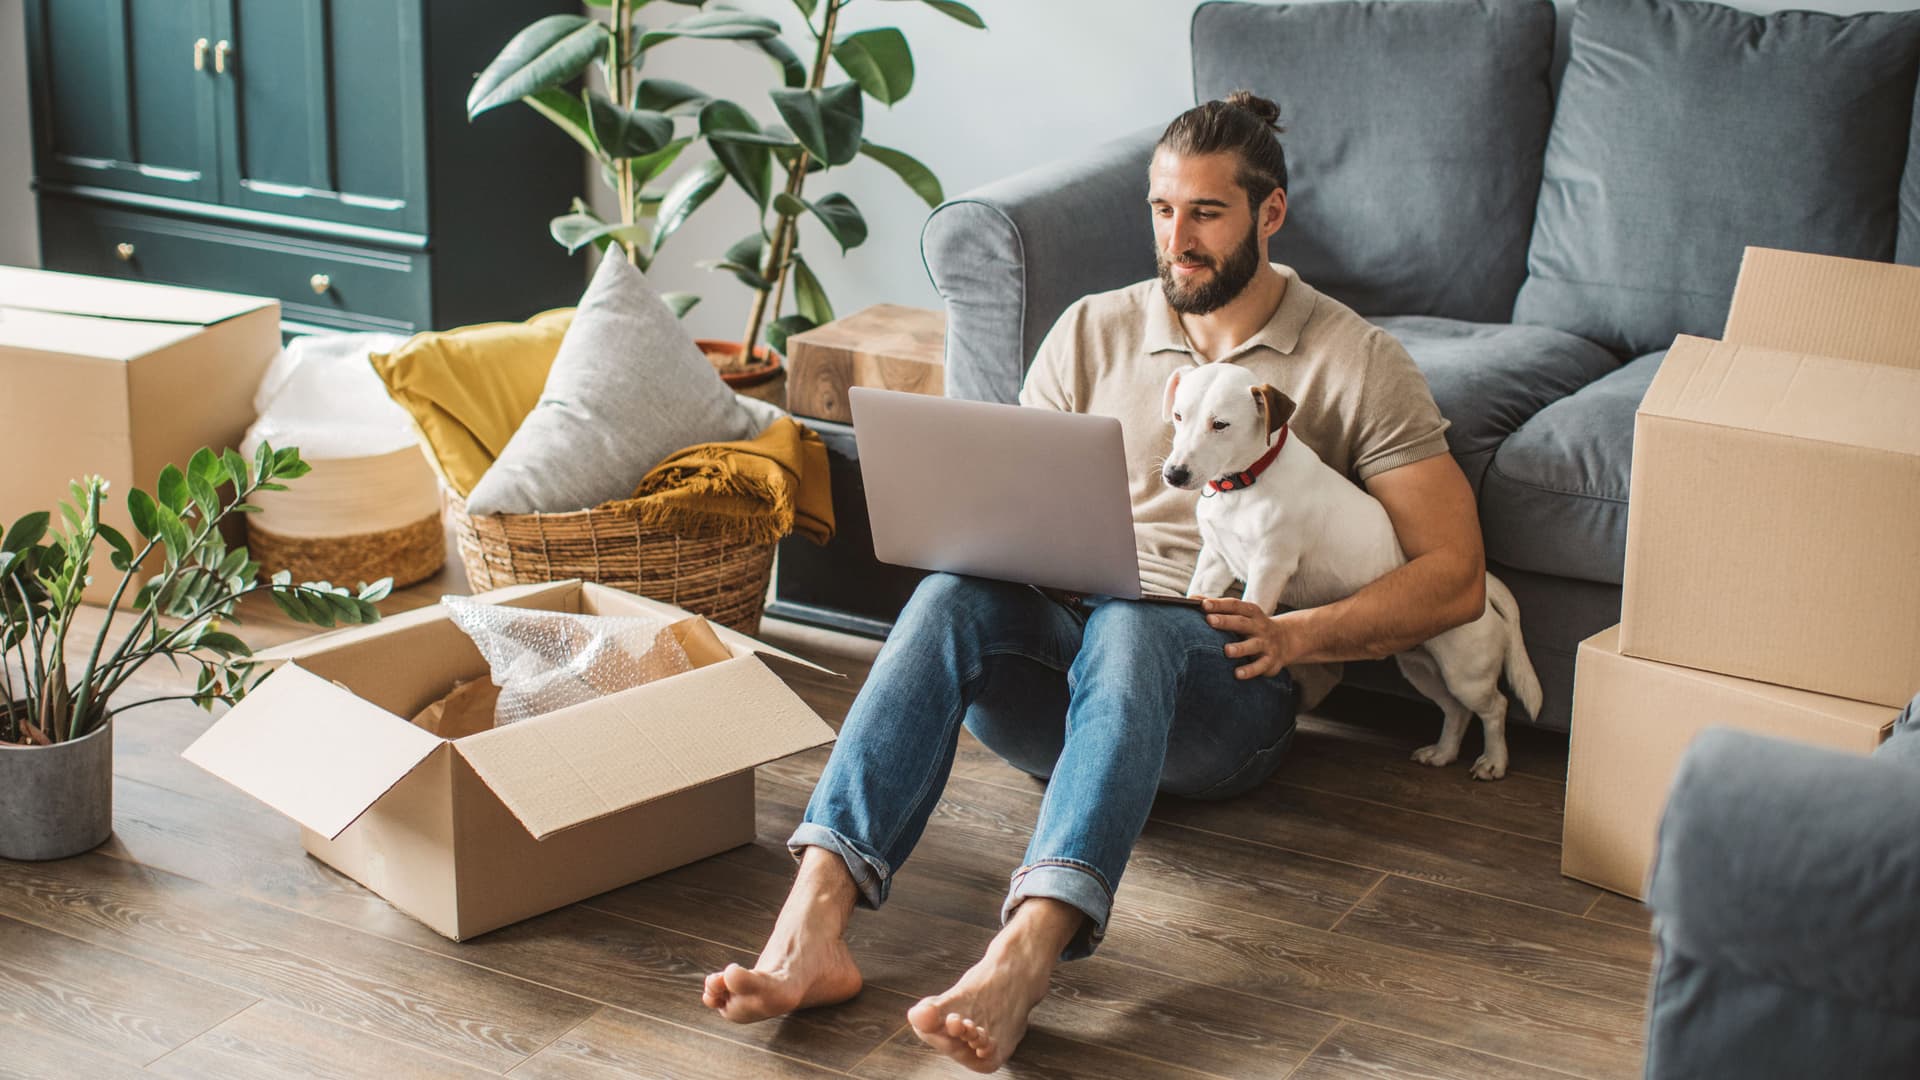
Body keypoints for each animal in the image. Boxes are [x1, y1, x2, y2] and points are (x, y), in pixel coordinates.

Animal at [1152, 359, 1543, 772]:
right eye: (1179, 416)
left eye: (1221, 425)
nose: (1173, 474)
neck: (1247, 482)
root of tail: (1486, 583)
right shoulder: (1215, 559)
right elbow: (1198, 590)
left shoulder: (1270, 566)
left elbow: (1254, 604)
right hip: (1422, 667)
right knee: (1456, 711)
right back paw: (1443, 752)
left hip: (1467, 672)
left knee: (1494, 707)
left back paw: (1493, 761)